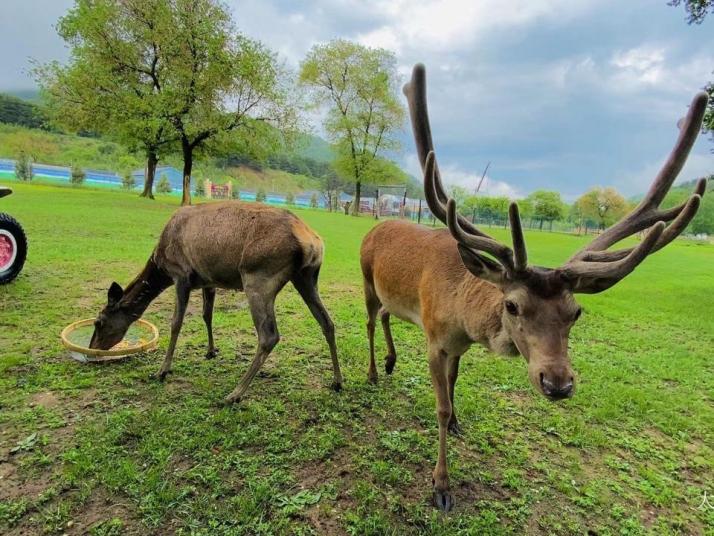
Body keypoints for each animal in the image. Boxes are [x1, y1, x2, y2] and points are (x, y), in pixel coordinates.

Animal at [87, 201, 344, 402]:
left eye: (99, 322)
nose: (92, 350)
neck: (160, 264)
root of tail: (313, 241)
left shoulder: (181, 274)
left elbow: (176, 322)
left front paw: (162, 371)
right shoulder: (207, 281)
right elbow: (206, 314)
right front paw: (211, 351)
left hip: (258, 277)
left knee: (269, 335)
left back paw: (235, 393)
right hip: (306, 277)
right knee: (327, 322)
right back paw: (338, 381)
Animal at [362, 63, 708, 510]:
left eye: (576, 312)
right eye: (512, 306)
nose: (557, 383)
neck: (463, 316)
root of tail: (374, 226)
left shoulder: (457, 345)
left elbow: (454, 389)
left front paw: (457, 422)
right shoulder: (436, 340)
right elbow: (438, 407)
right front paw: (441, 485)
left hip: (392, 296)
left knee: (389, 314)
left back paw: (390, 362)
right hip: (366, 279)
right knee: (371, 321)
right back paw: (373, 372)